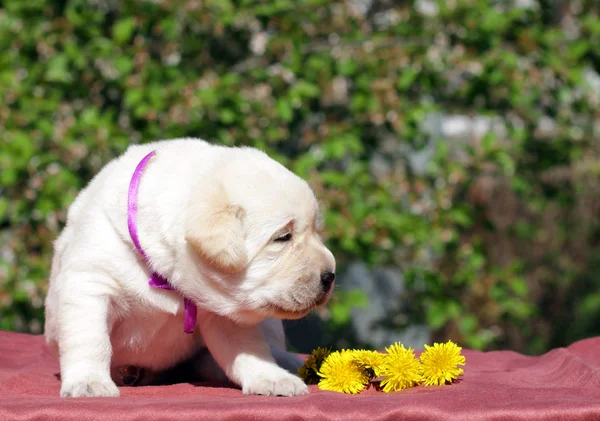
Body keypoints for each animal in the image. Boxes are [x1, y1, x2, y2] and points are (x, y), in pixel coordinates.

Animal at [44, 139, 336, 398]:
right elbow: (91, 340)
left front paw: (272, 378)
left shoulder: (226, 312)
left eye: (315, 230)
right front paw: (89, 383)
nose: (330, 276)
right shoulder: (91, 283)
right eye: (283, 237)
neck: (162, 275)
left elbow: (249, 348)